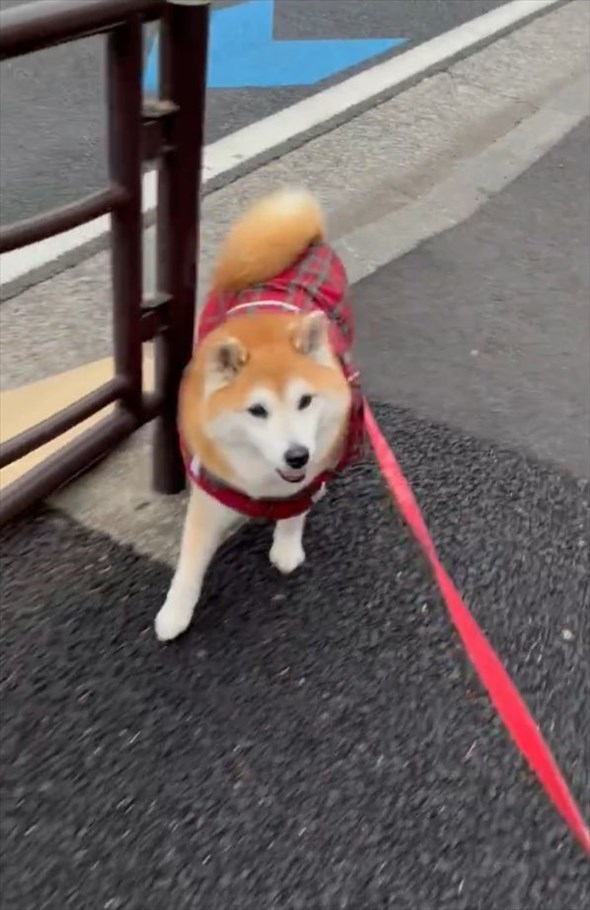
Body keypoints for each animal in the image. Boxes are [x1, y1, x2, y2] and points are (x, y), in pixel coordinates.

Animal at [155, 187, 364, 640]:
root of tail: (307, 235)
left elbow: (295, 510)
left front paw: (286, 546)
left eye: (305, 401)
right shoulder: (211, 483)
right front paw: (175, 611)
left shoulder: (304, 476)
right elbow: (190, 559)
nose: (297, 456)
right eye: (257, 411)